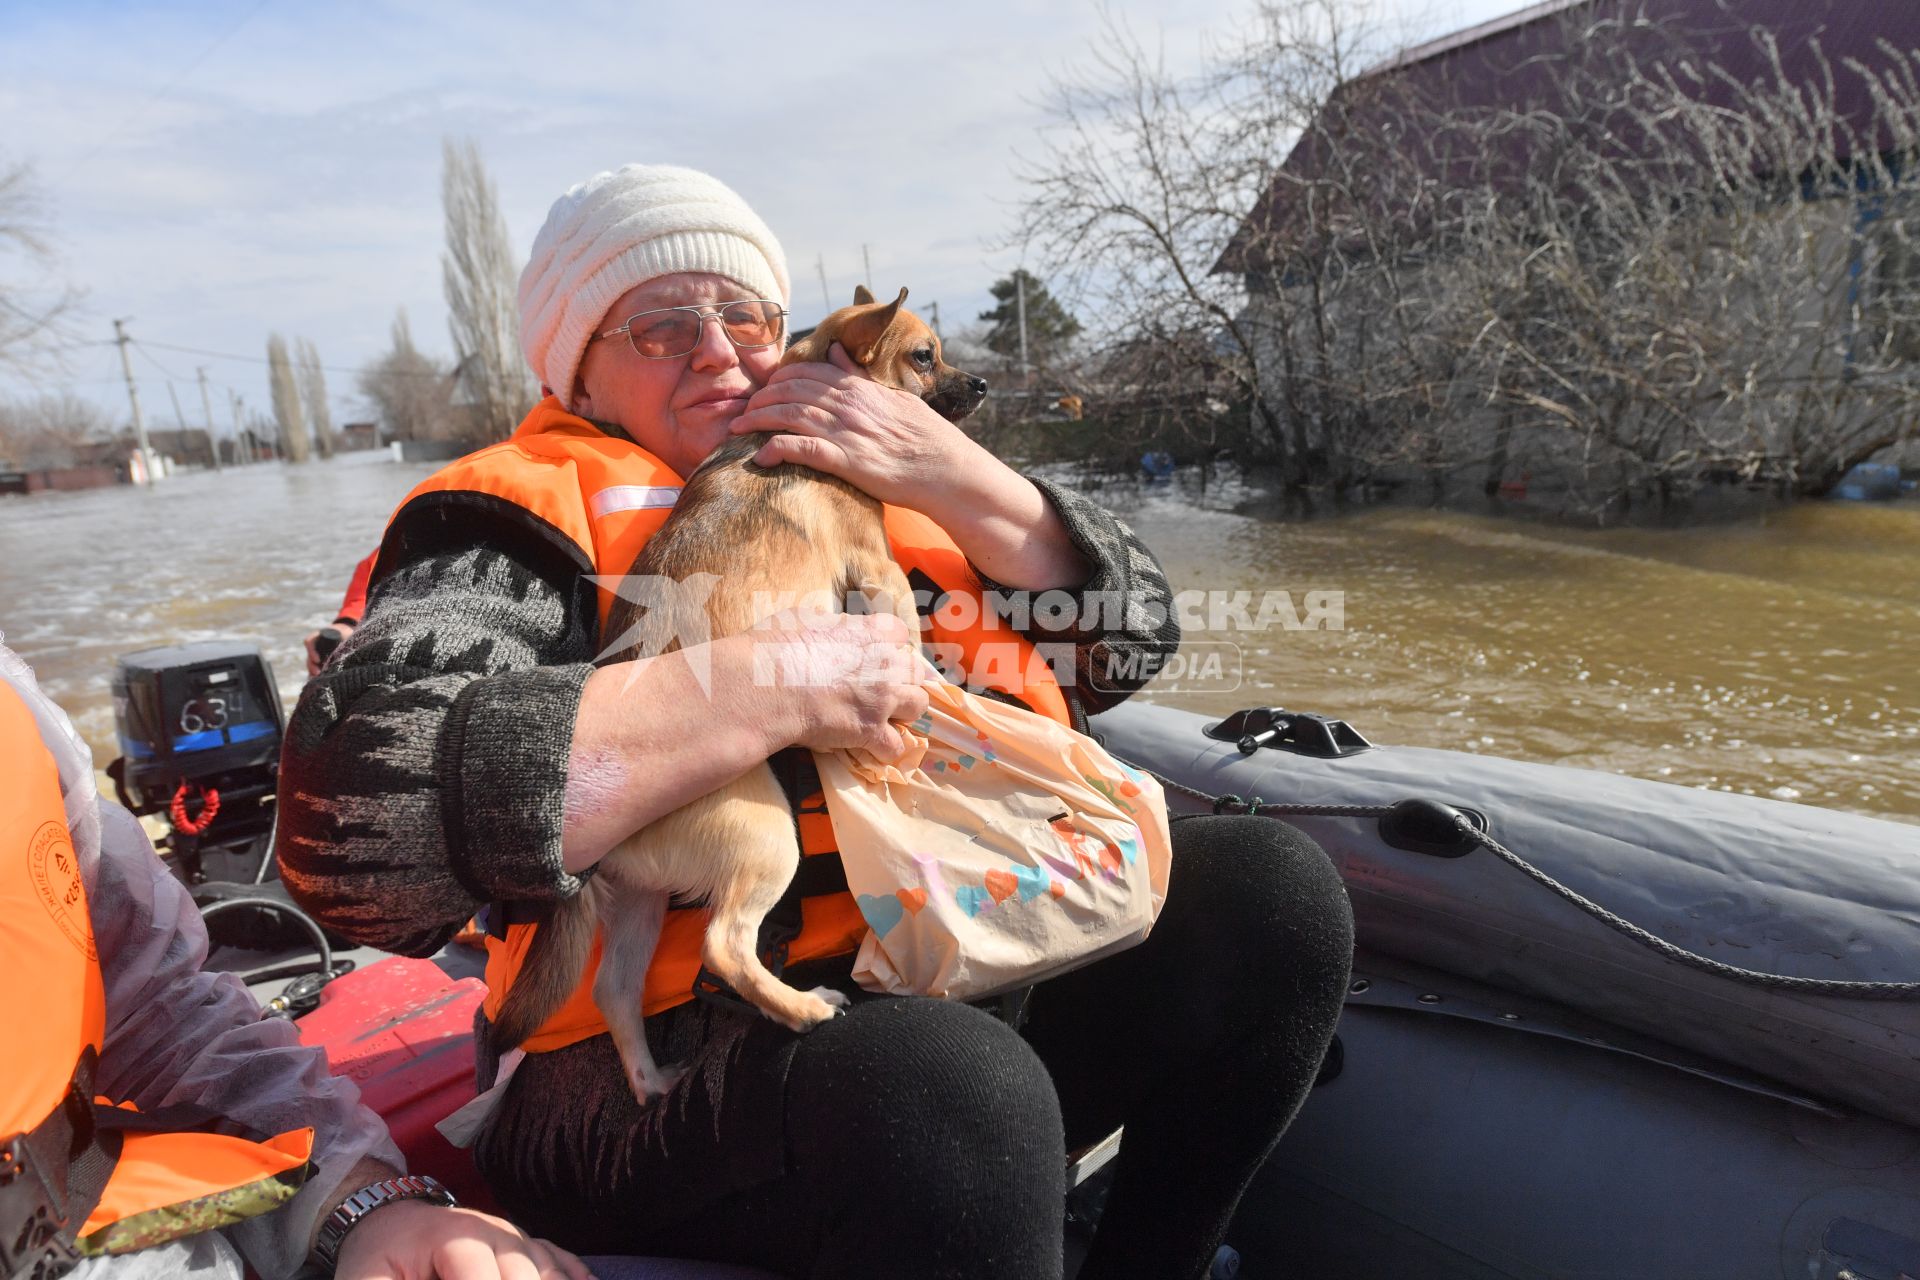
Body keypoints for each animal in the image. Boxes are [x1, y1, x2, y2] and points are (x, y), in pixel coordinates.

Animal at [491, 287, 990, 1105]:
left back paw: (651, 1080)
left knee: (615, 991)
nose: (981, 383)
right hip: (764, 839)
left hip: (640, 903)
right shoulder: (878, 571)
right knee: (724, 948)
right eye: (926, 357)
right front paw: (924, 704)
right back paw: (802, 1008)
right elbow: (906, 642)